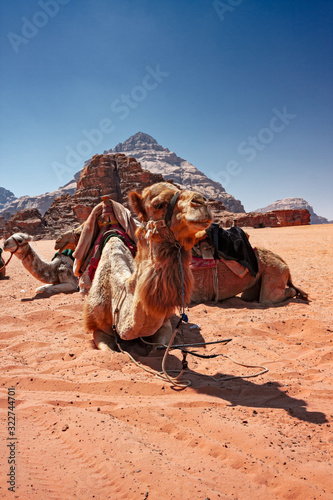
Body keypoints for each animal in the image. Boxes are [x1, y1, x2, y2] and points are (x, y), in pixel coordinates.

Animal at [83, 182, 213, 350]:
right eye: (159, 204)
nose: (201, 201)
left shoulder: (164, 323)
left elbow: (159, 346)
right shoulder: (96, 326)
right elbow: (107, 349)